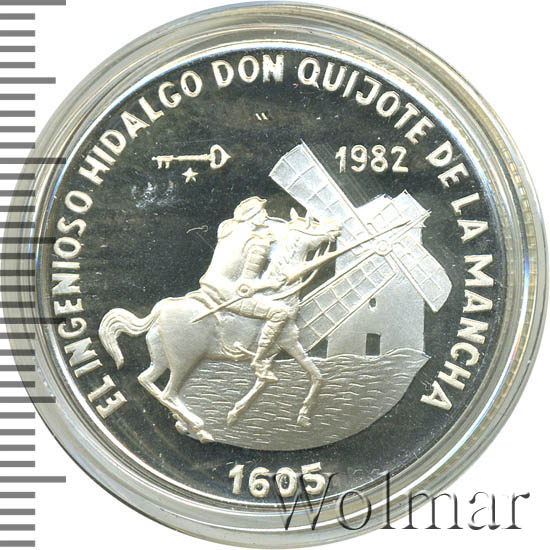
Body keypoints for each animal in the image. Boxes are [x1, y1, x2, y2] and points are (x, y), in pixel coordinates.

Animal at [98, 210, 341, 443]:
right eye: (313, 224)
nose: (335, 228)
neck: (280, 296)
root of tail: (160, 309)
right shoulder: (286, 341)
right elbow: (307, 376)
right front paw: (301, 415)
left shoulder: (278, 350)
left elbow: (280, 380)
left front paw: (237, 413)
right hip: (185, 360)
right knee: (168, 393)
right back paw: (200, 429)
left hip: (162, 358)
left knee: (147, 380)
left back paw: (186, 424)